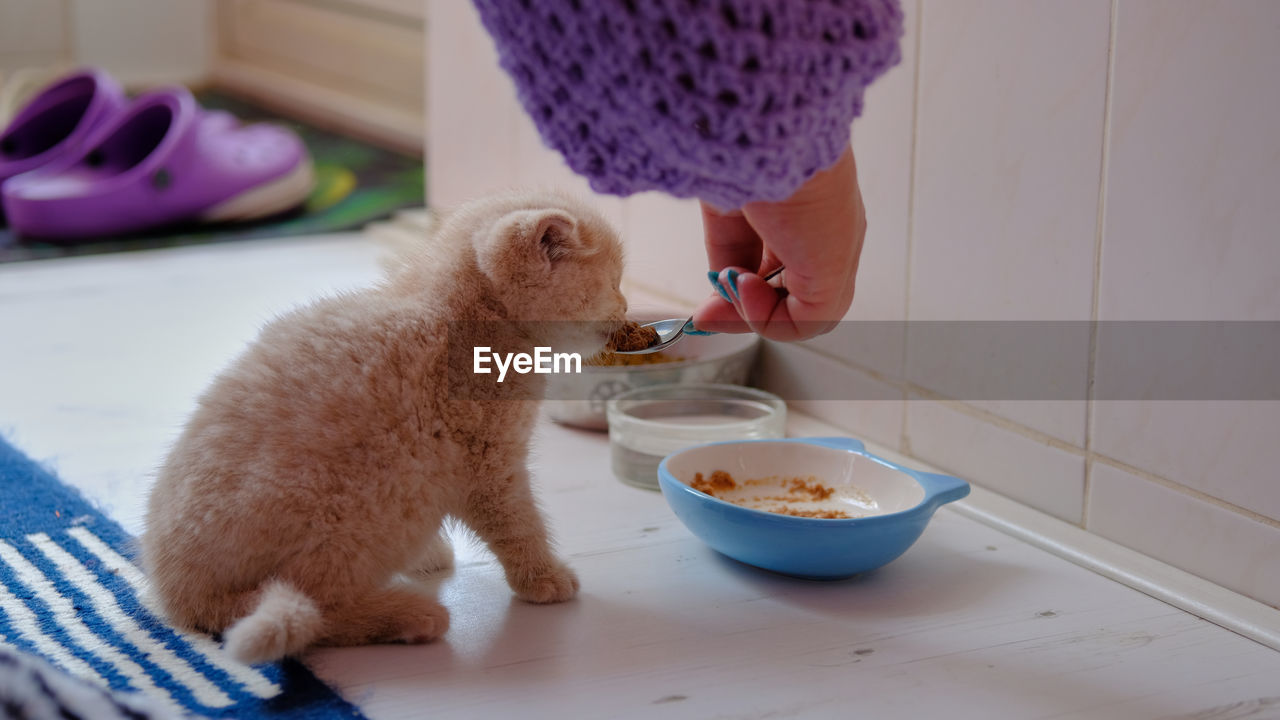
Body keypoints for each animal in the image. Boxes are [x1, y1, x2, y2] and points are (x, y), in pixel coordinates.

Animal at [142, 189, 627, 661]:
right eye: (612, 281)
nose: (625, 308)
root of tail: (178, 599)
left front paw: (432, 556)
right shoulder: (489, 462)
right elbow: (519, 524)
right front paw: (544, 578)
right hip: (370, 502)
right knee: (318, 612)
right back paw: (409, 616)